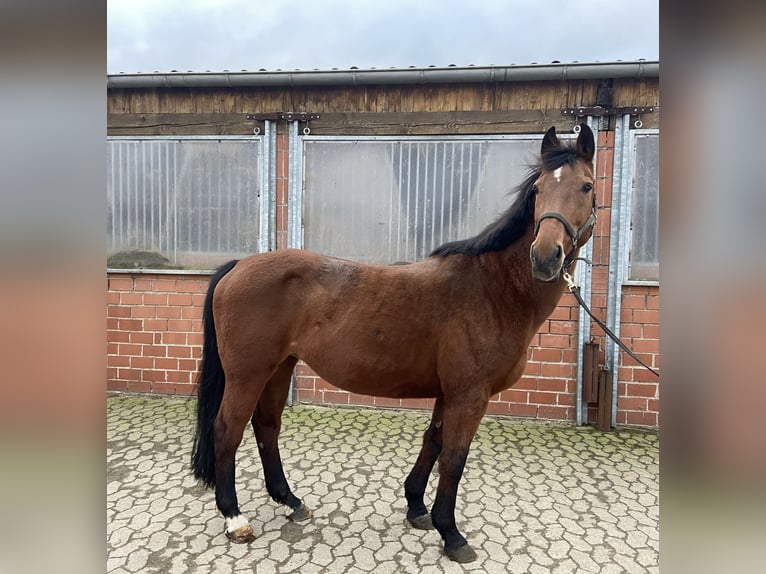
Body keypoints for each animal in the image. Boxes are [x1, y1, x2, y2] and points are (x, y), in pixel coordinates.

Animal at [192, 125, 600, 564]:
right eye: (538, 189)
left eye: (587, 186)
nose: (545, 257)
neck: (493, 289)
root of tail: (238, 265)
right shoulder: (470, 395)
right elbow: (454, 459)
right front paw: (451, 533)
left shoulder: (449, 393)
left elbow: (433, 442)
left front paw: (417, 506)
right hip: (248, 374)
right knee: (226, 431)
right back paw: (235, 519)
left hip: (279, 368)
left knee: (267, 427)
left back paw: (291, 501)